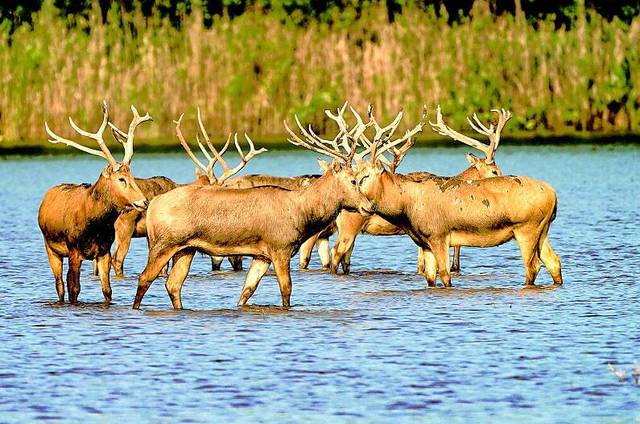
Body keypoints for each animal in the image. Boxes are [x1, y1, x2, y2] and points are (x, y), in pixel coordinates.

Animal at [38, 101, 151, 304]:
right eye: (121, 179)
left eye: (132, 176)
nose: (144, 201)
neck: (94, 226)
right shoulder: (74, 250)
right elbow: (74, 288)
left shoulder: (104, 251)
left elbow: (107, 290)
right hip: (50, 248)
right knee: (60, 285)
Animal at [134, 105, 376, 312]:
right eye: (354, 181)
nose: (369, 205)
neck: (302, 214)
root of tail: (152, 205)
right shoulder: (280, 247)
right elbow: (286, 289)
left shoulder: (262, 255)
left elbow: (247, 291)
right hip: (164, 243)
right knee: (145, 278)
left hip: (186, 248)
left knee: (173, 284)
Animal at [356, 107, 564, 290]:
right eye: (355, 178)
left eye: (365, 177)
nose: (362, 207)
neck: (406, 208)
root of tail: (553, 194)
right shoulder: (425, 242)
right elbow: (430, 278)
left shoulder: (439, 235)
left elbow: (445, 276)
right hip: (543, 229)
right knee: (554, 262)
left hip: (526, 228)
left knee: (533, 266)